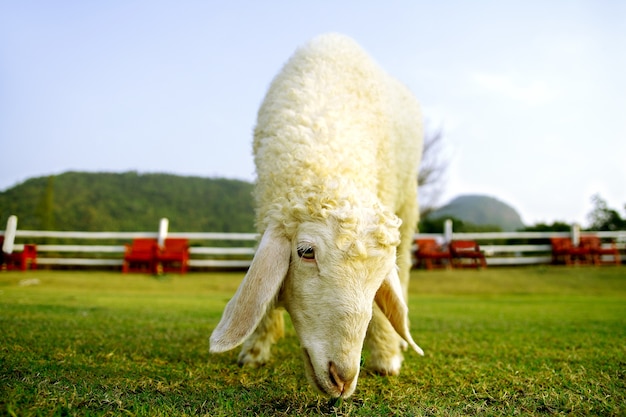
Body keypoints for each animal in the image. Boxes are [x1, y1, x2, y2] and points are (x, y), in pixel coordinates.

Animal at [211, 32, 424, 396]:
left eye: (382, 274)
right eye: (306, 252)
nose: (343, 377)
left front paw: (386, 358)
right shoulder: (266, 206)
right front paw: (255, 348)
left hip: (407, 200)